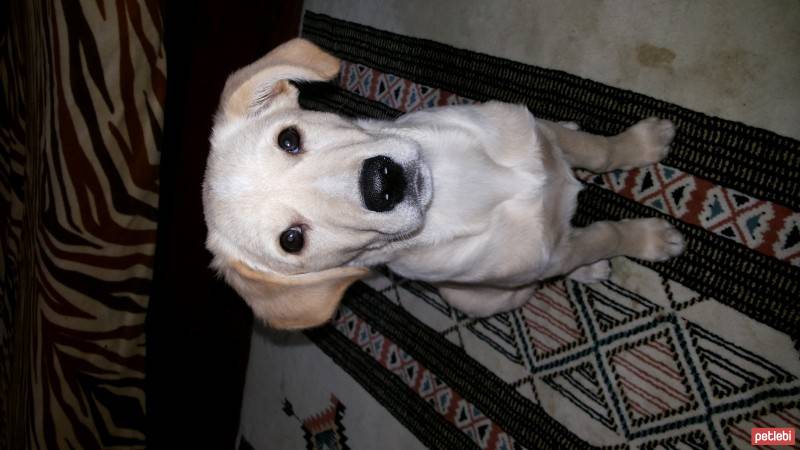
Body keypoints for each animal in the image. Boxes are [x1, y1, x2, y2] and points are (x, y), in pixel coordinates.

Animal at [203, 38, 684, 328]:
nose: (382, 182)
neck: (458, 188)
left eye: (289, 138)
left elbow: (597, 151)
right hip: (484, 297)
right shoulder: (548, 254)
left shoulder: (539, 133)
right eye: (292, 240)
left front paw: (642, 144)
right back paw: (590, 267)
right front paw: (650, 239)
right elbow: (605, 235)